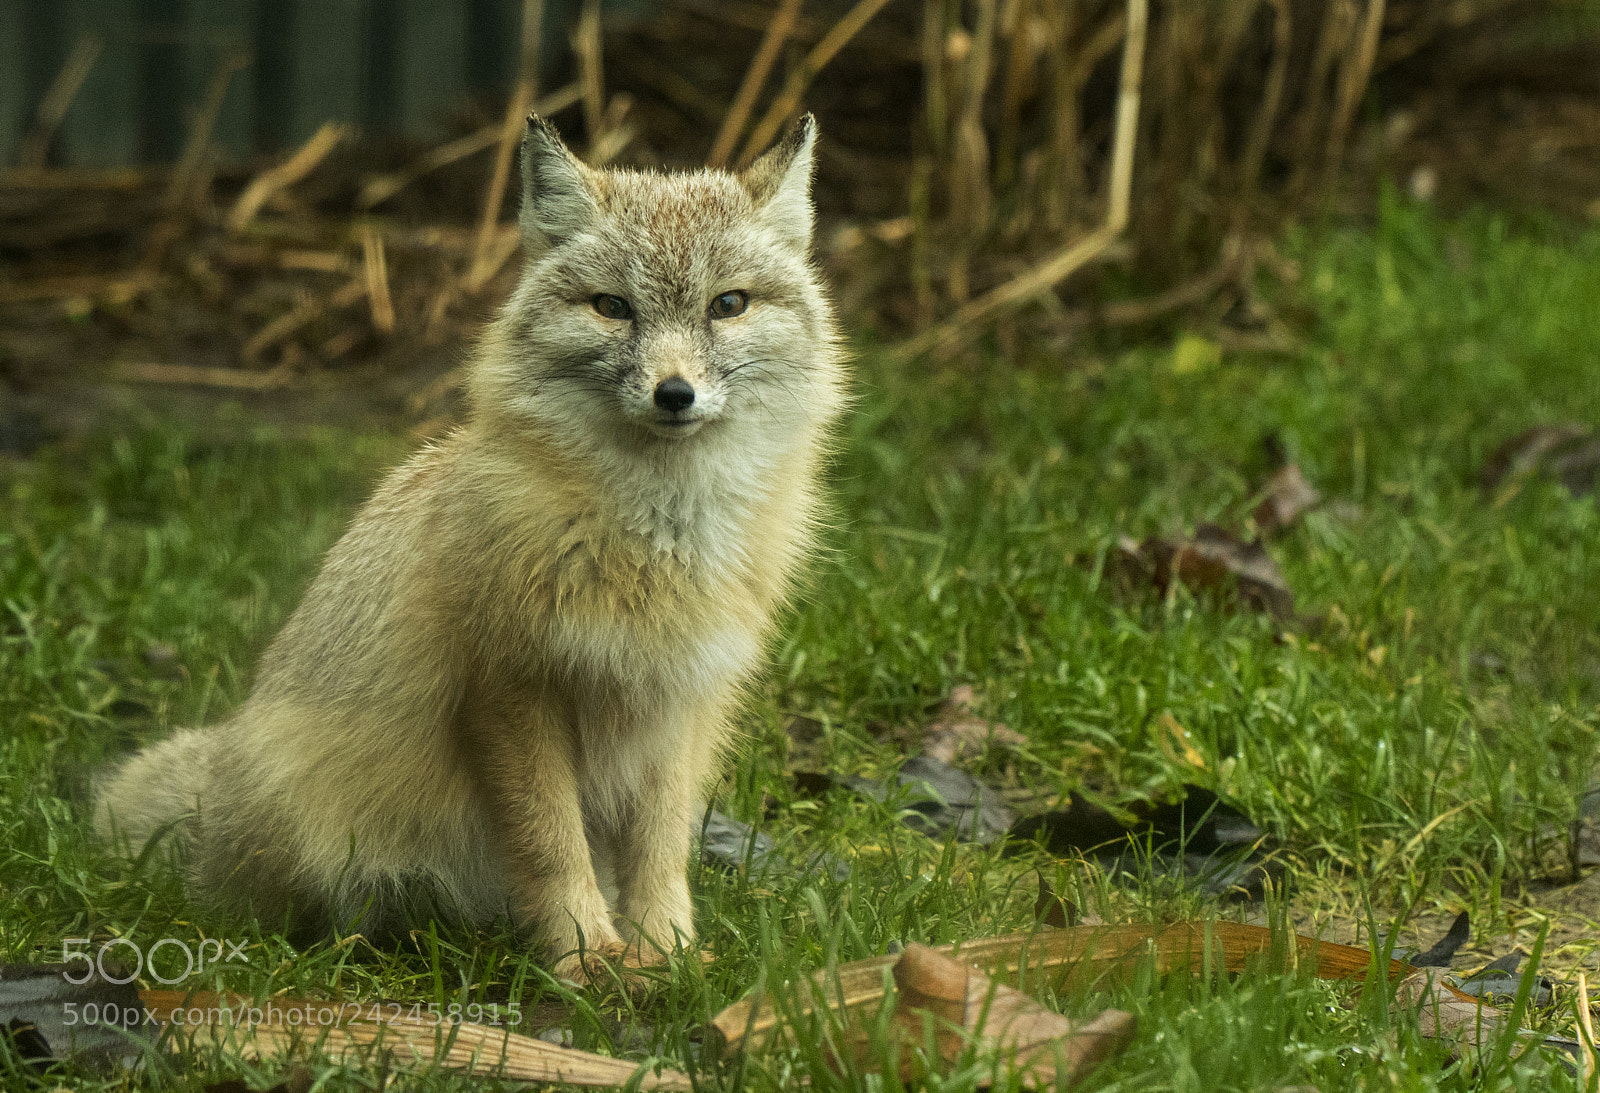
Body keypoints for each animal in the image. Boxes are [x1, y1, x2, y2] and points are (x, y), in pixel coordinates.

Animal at [94, 113, 845, 983]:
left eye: (728, 305)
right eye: (612, 307)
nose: (674, 393)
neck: (654, 544)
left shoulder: (674, 697)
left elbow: (660, 848)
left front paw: (667, 953)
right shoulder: (509, 687)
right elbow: (553, 845)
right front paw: (584, 958)